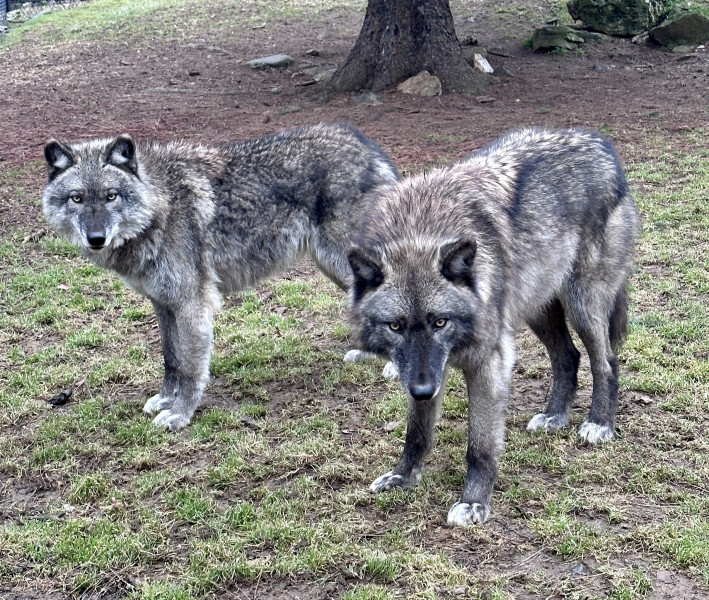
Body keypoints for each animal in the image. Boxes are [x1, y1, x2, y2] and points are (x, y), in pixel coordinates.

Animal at [42, 123, 399, 430]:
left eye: (110, 195)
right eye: (77, 198)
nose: (96, 238)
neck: (161, 205)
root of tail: (370, 148)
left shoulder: (192, 303)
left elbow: (191, 368)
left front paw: (180, 414)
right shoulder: (163, 303)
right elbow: (171, 360)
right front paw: (166, 400)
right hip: (336, 268)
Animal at [347, 128, 640, 527]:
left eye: (440, 322)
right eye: (395, 326)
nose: (422, 390)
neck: (420, 230)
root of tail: (601, 145)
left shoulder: (488, 363)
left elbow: (480, 445)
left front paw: (473, 502)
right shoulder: (424, 372)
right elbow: (417, 432)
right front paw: (403, 476)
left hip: (581, 304)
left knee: (605, 361)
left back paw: (600, 423)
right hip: (537, 309)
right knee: (568, 356)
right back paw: (555, 416)